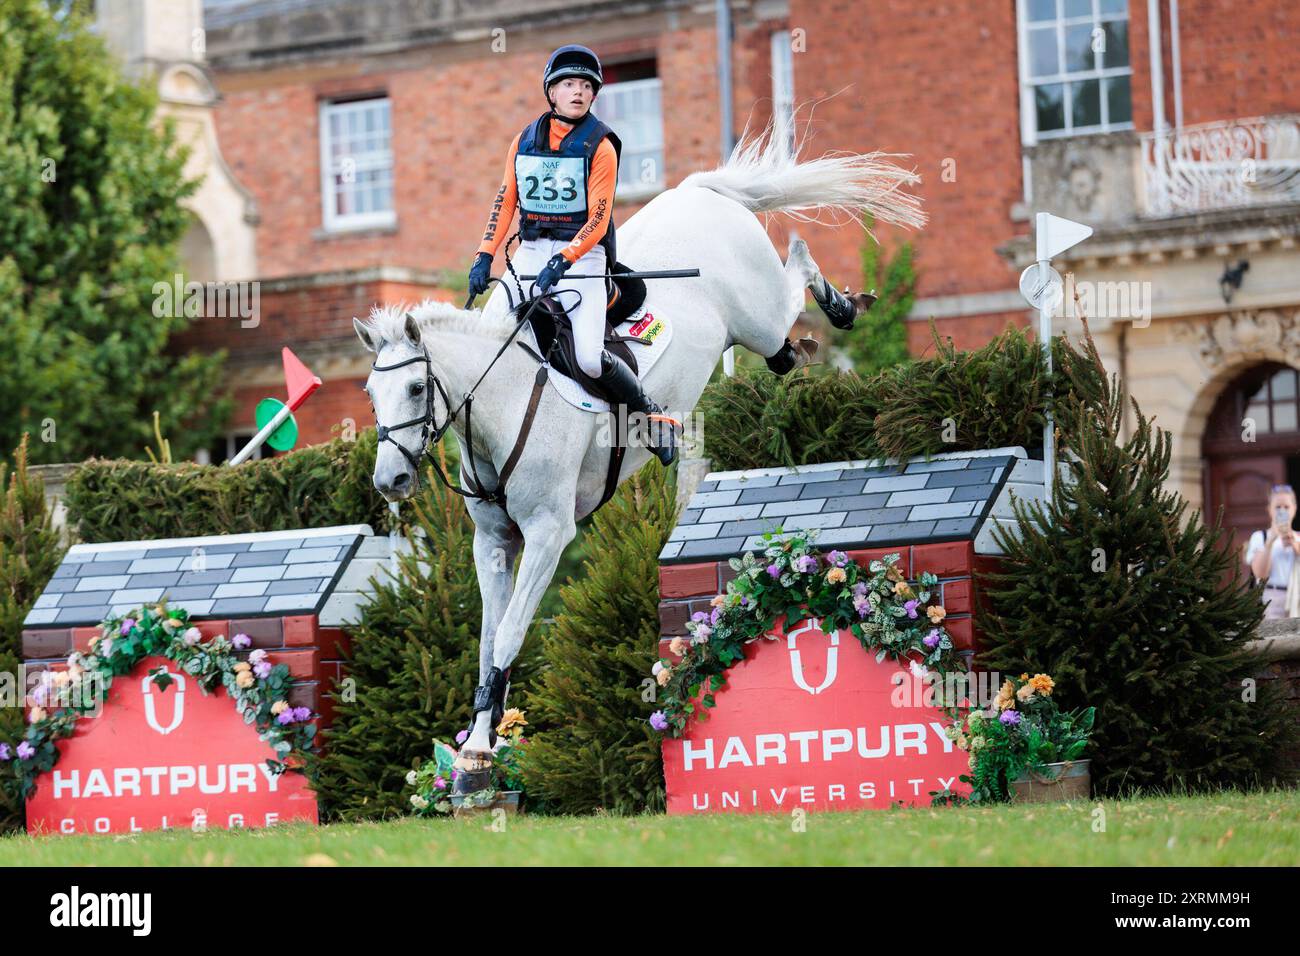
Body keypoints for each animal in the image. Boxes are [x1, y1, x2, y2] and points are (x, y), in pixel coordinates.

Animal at [356, 132, 925, 790]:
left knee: (796, 274)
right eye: (370, 394)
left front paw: (477, 755)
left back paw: (842, 305)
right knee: (784, 352)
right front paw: (478, 746)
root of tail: (699, 191)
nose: (391, 480)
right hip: (755, 337)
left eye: (416, 389)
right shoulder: (493, 541)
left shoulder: (548, 534)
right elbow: (485, 642)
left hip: (755, 316)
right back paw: (811, 339)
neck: (500, 401)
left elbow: (509, 634)